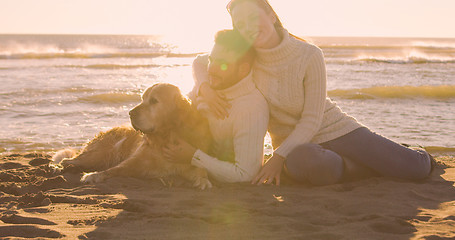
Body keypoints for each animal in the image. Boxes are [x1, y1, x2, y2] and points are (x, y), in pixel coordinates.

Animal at [54, 83, 215, 190]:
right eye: (142, 98)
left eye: (154, 101)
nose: (130, 113)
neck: (166, 136)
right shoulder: (134, 162)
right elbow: (113, 169)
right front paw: (93, 175)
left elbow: (201, 171)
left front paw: (203, 181)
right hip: (100, 153)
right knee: (70, 159)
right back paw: (59, 166)